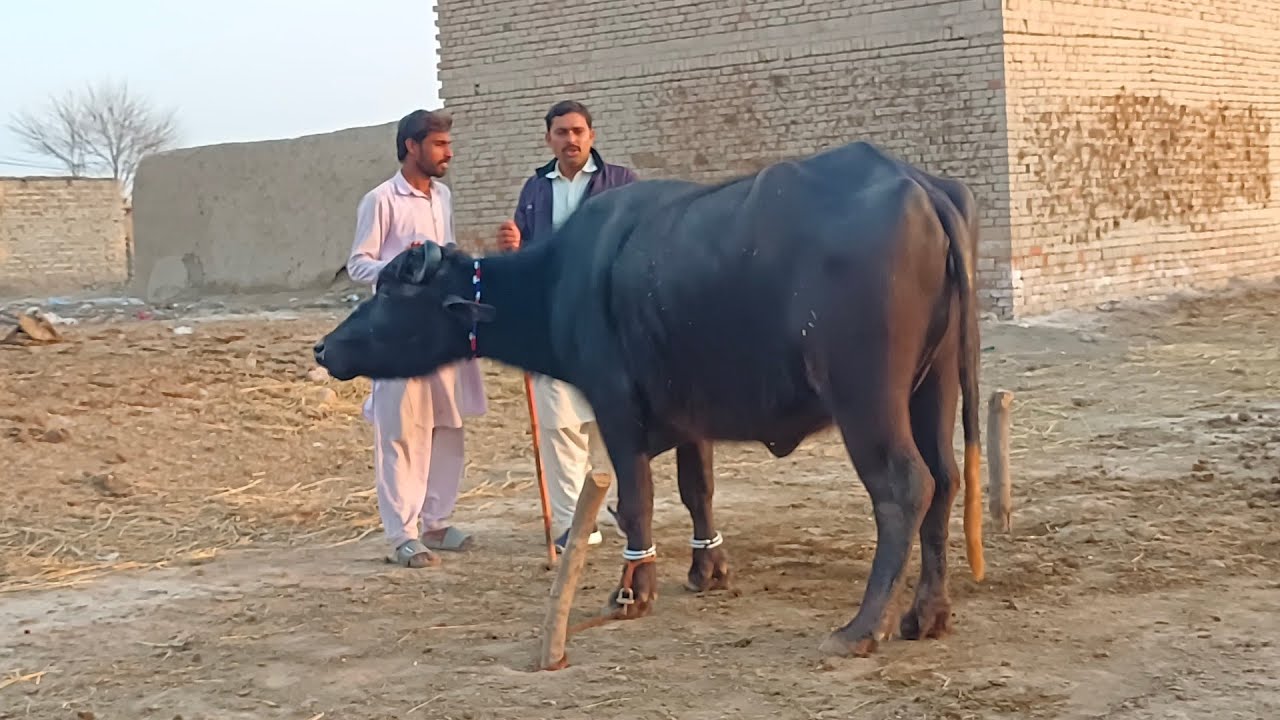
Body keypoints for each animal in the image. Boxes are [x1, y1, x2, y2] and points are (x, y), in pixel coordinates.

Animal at [313, 140, 986, 657]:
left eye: (394, 293)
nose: (325, 349)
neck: (559, 282)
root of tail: (920, 187)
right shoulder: (691, 416)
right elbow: (698, 490)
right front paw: (707, 570)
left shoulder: (615, 407)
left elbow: (636, 500)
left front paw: (632, 591)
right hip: (936, 385)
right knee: (946, 480)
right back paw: (927, 615)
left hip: (866, 398)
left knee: (905, 487)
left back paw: (861, 628)